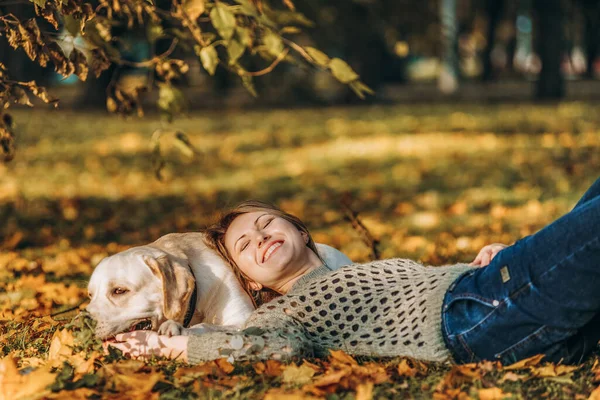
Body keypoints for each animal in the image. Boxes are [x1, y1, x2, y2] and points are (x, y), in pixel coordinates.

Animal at [88, 233, 352, 340]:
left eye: (119, 291)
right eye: (90, 295)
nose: (85, 319)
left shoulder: (242, 318)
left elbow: (207, 326)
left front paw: (176, 328)